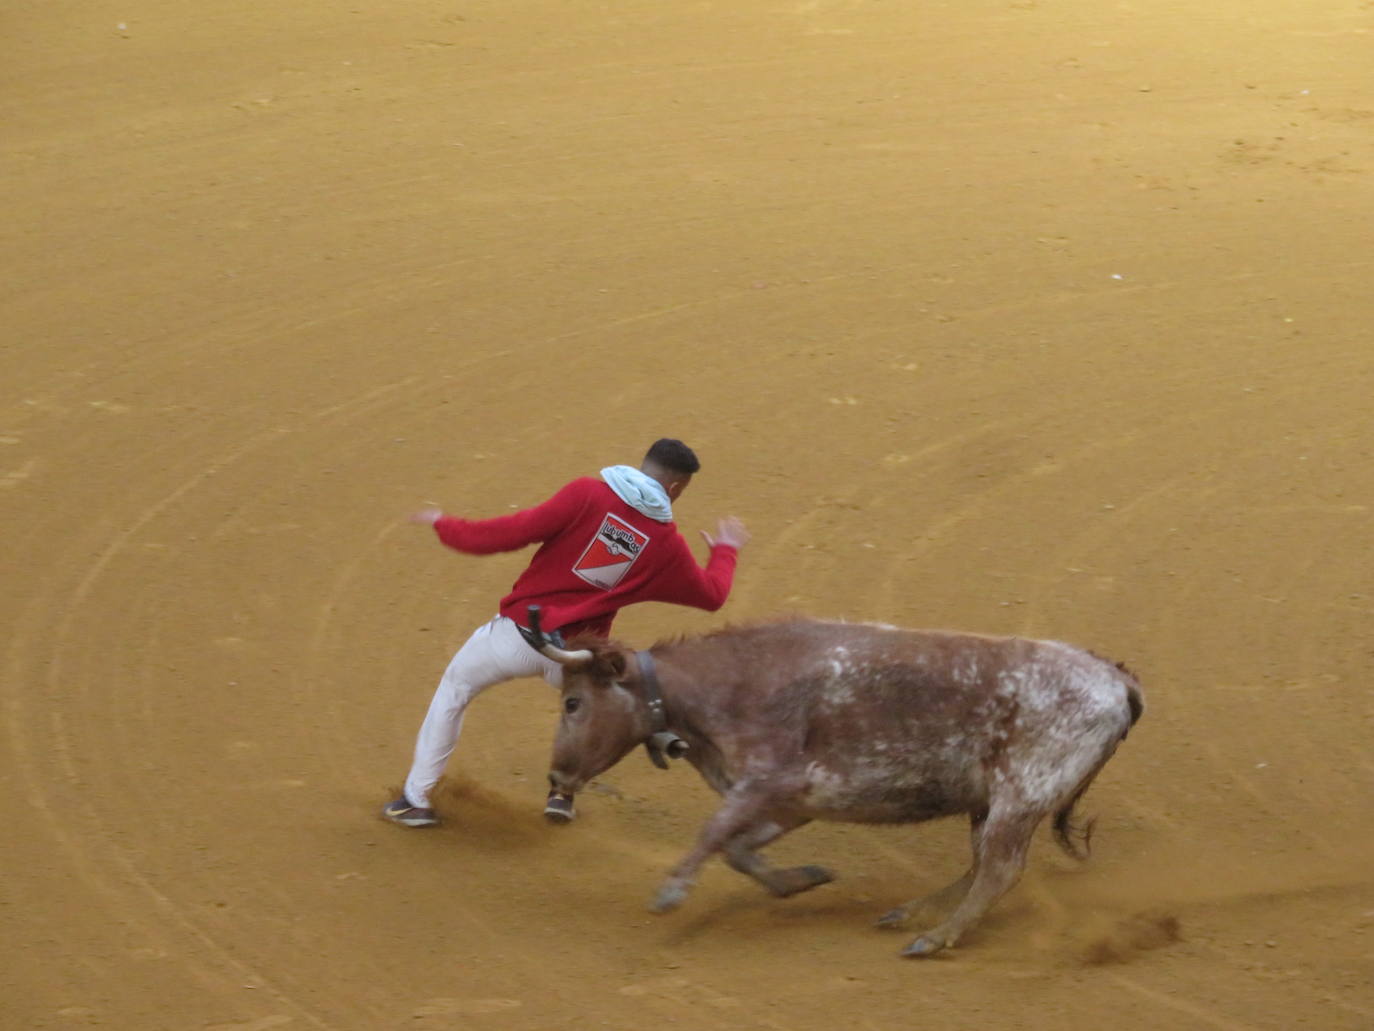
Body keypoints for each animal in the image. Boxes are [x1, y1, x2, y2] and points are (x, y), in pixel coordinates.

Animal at [530, 613, 1143, 962]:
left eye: (573, 702)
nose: (557, 777)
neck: (728, 684)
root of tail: (1115, 678)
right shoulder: (793, 800)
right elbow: (737, 848)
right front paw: (801, 879)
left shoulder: (769, 781)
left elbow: (714, 834)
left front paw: (672, 892)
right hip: (988, 803)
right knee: (980, 867)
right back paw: (913, 914)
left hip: (1020, 797)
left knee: (1000, 870)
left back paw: (935, 936)